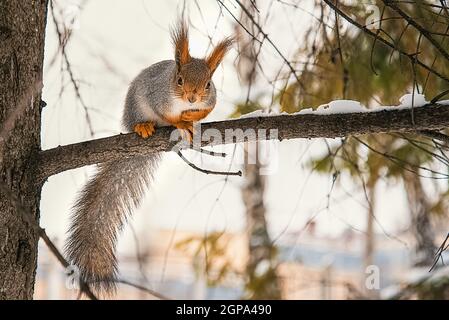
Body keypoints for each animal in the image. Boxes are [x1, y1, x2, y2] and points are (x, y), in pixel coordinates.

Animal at [65, 20, 233, 296]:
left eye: (209, 84)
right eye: (179, 80)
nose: (192, 97)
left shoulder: (211, 101)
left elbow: (206, 111)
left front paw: (193, 119)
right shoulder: (158, 97)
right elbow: (168, 114)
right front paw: (181, 122)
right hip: (134, 108)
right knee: (142, 120)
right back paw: (144, 126)